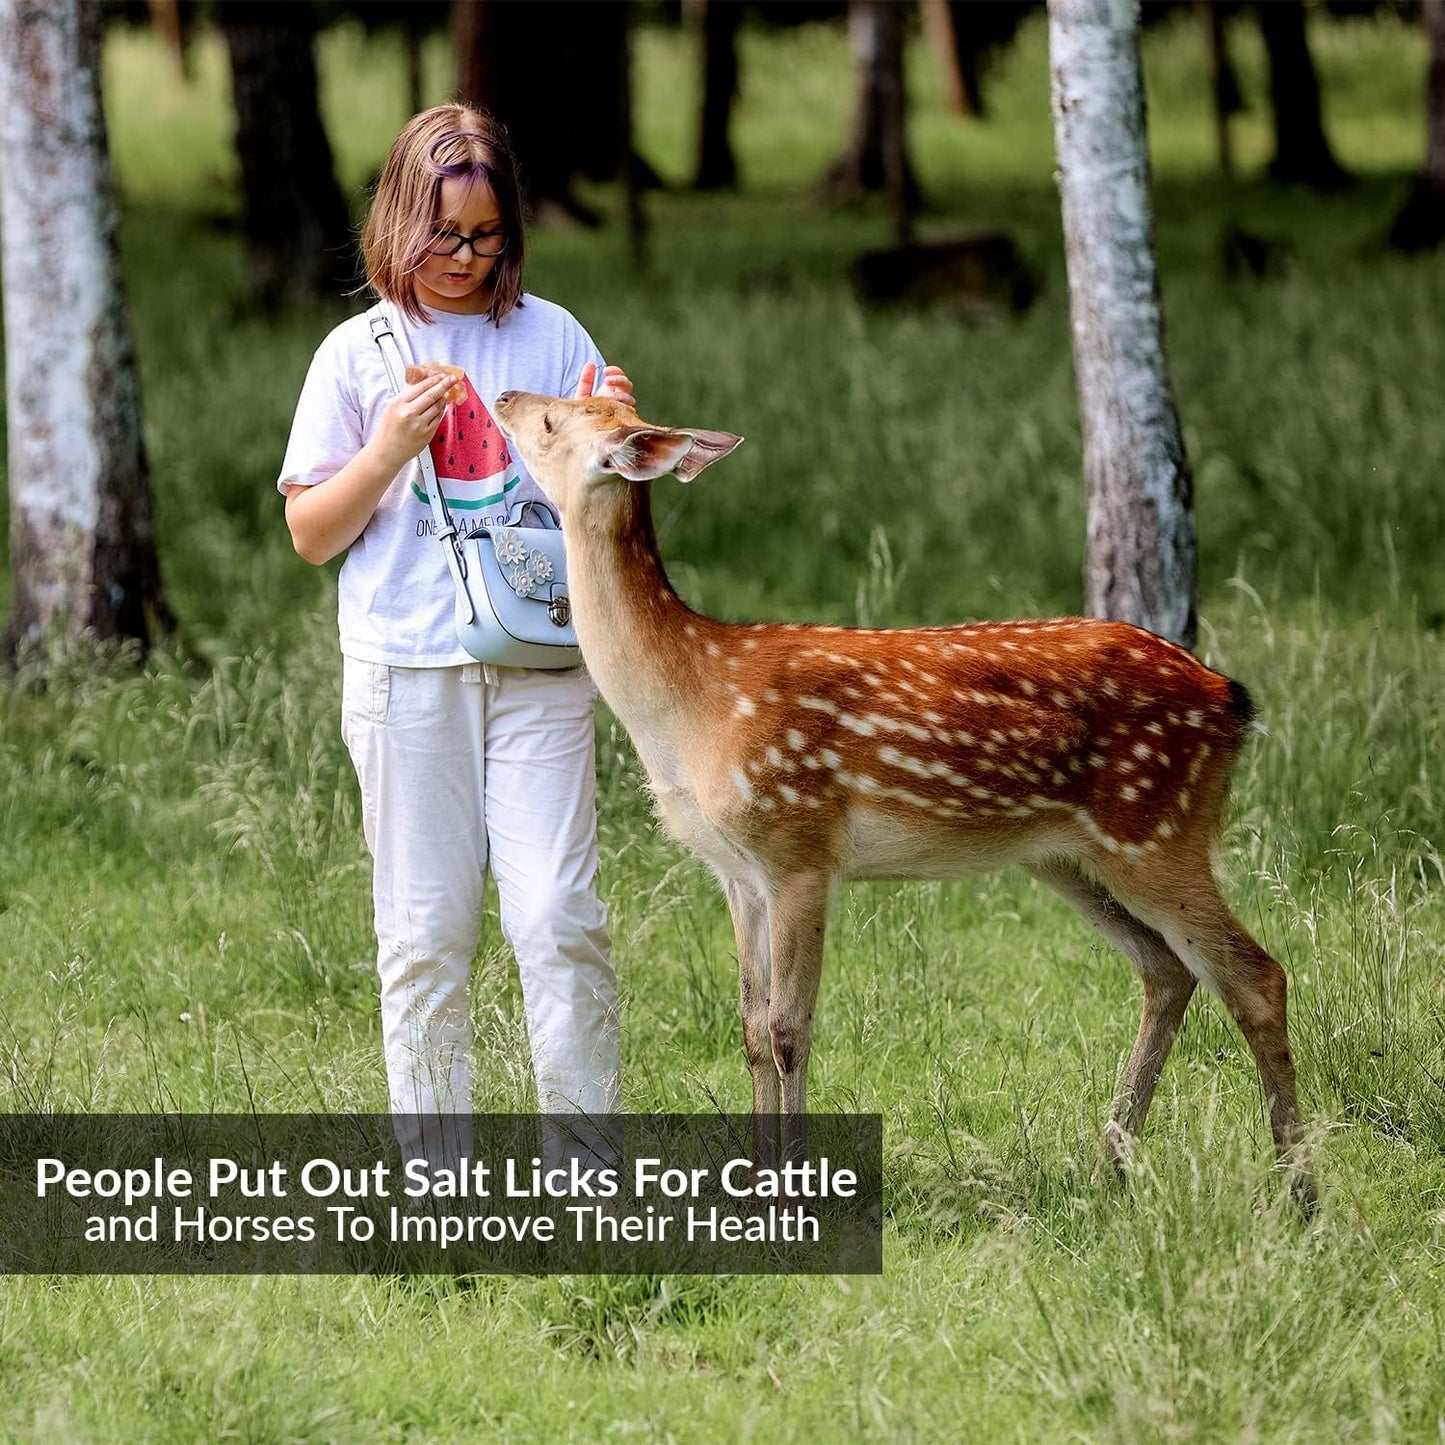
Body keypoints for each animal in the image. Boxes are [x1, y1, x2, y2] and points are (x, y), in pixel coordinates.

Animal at [491, 390, 1317, 1213]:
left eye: (554, 419)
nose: (502, 395)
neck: (688, 707)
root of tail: (1229, 699)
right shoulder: (736, 872)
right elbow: (752, 1028)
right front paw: (753, 1185)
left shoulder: (799, 846)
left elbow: (790, 1026)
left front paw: (794, 1192)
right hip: (1070, 857)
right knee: (1168, 970)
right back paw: (1108, 1169)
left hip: (1156, 825)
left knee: (1254, 973)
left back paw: (1298, 1190)